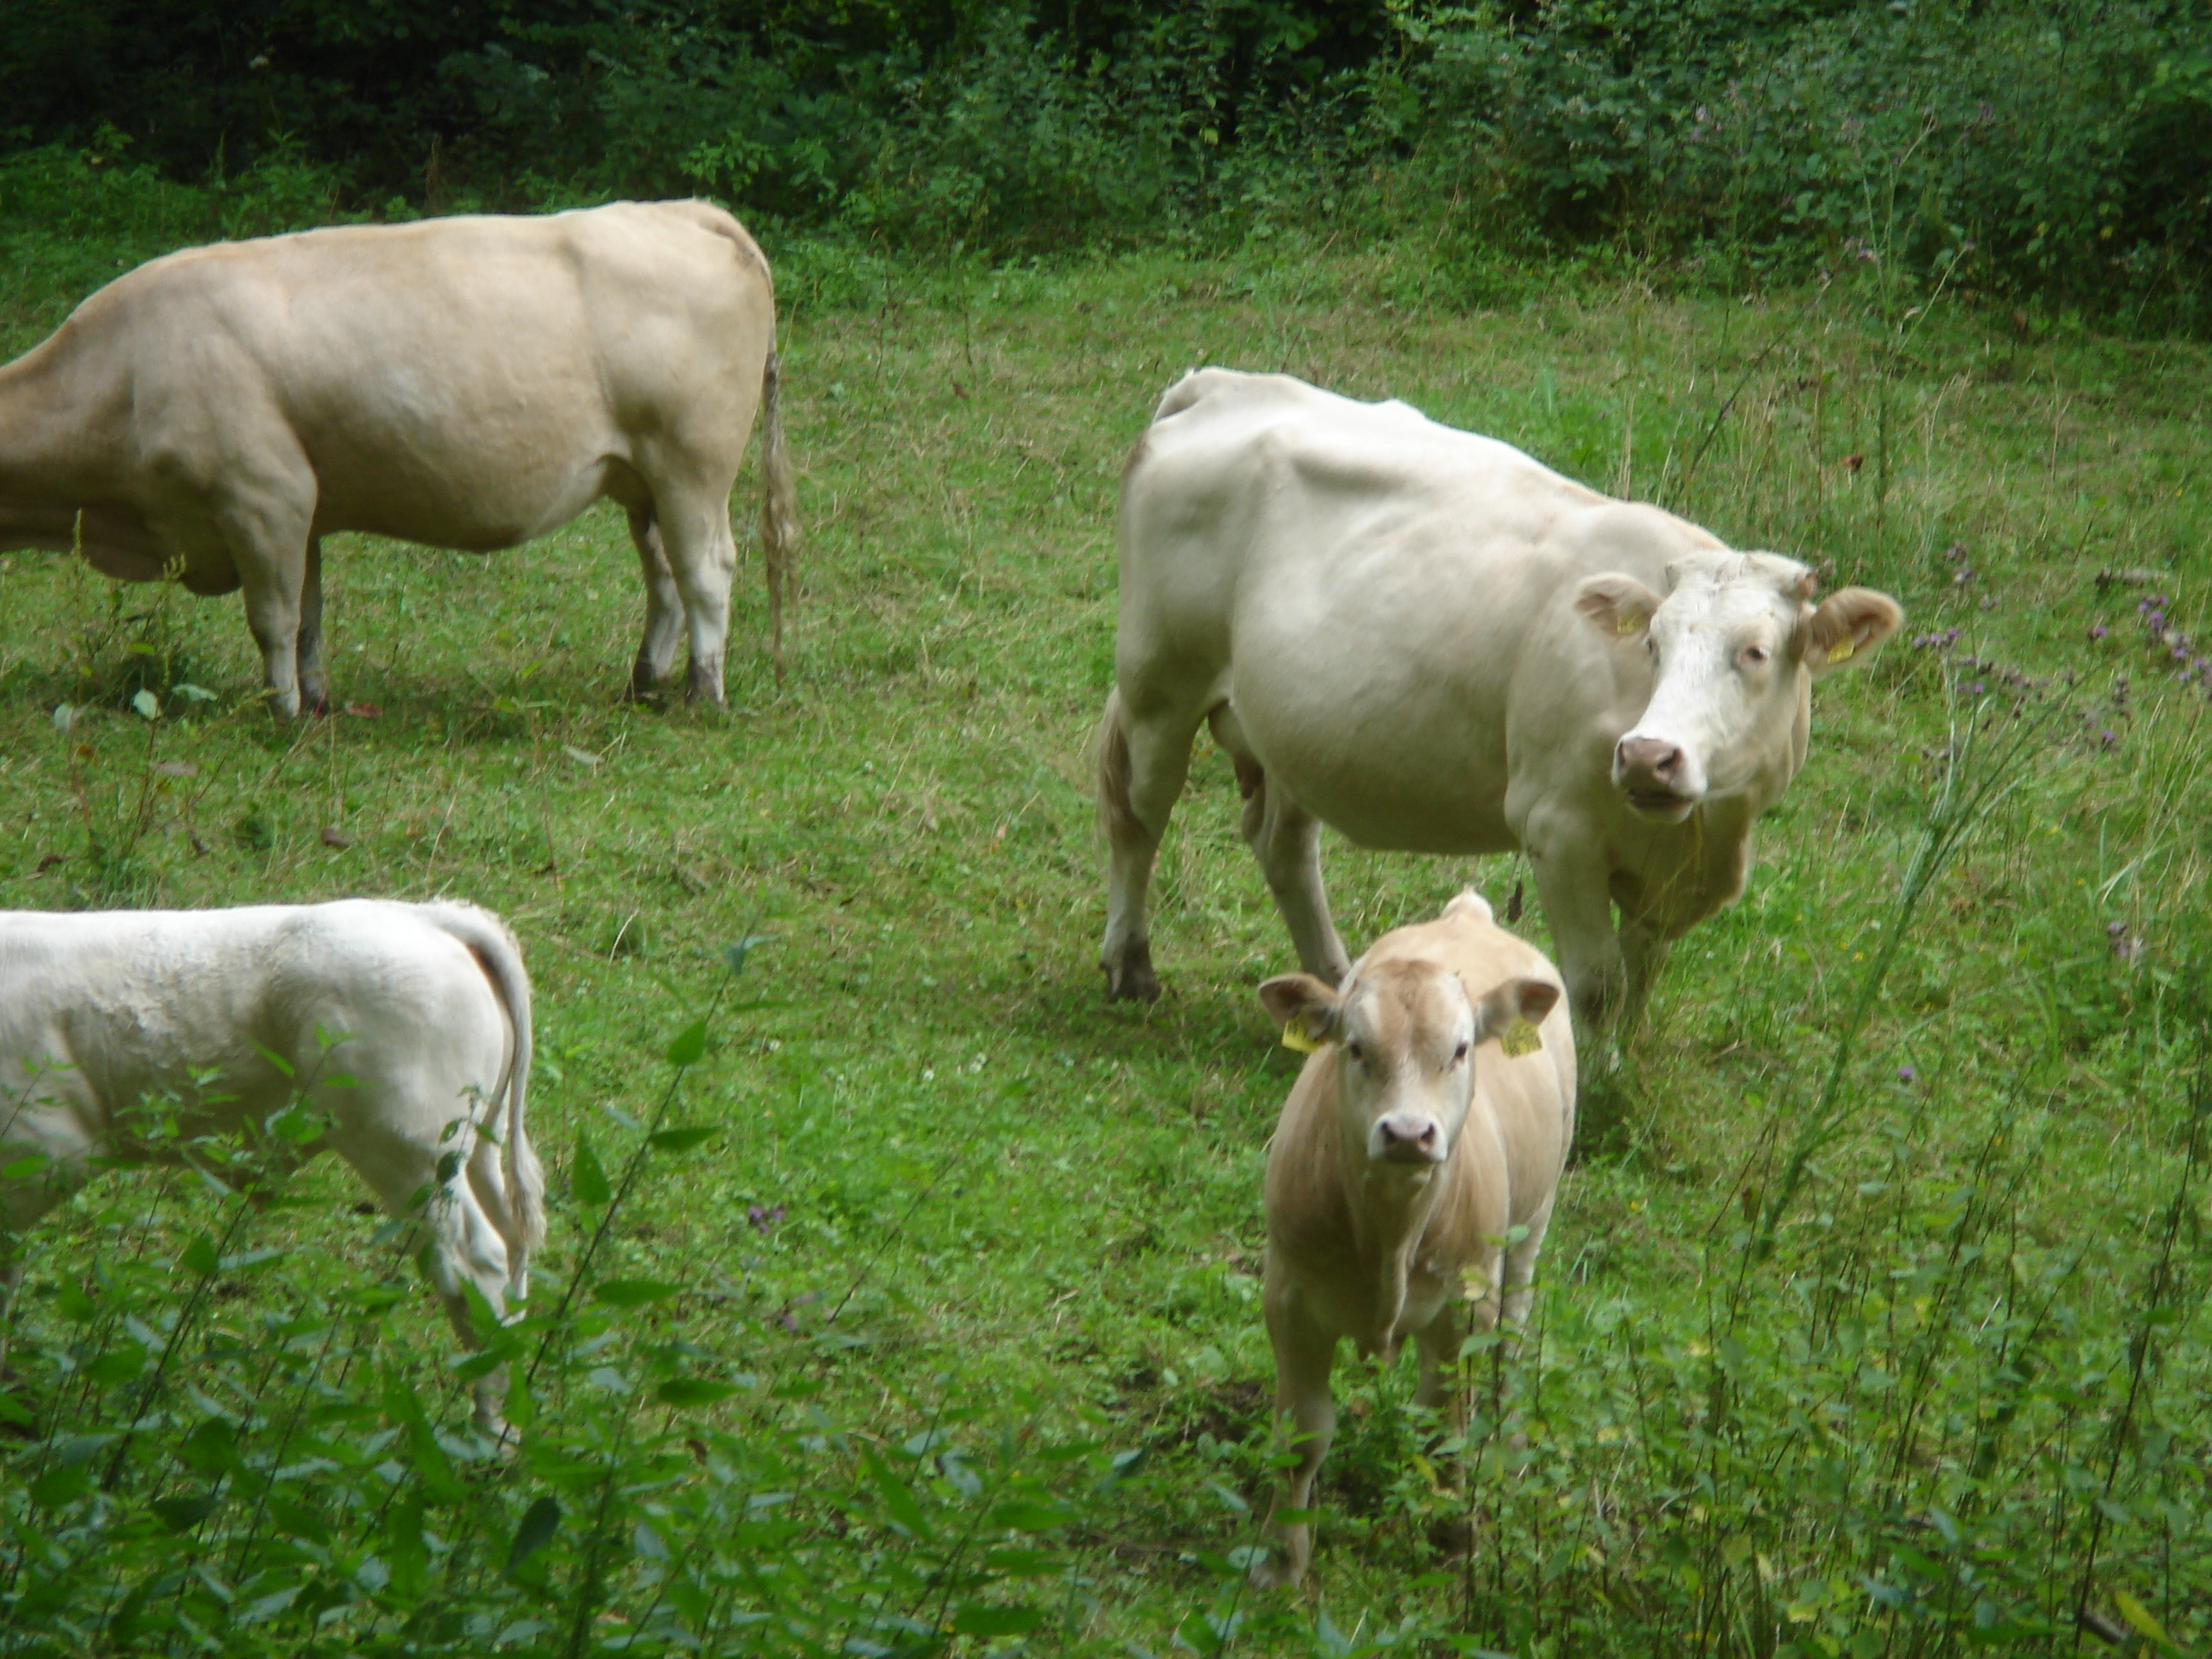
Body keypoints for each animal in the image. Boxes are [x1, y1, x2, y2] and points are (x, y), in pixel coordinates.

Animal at [0, 197, 805, 716]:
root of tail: (684, 209)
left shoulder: (261, 494)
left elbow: (273, 618)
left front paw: (282, 713)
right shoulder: (299, 505)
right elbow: (309, 615)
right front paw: (316, 702)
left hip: (691, 463)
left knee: (706, 572)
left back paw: (703, 694)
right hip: (641, 477)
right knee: (663, 576)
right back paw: (643, 682)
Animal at [2, 902, 546, 1433]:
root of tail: (423, 914)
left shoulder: (44, 1147)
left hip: (410, 1152)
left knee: (476, 1263)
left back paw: (487, 1436)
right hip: (478, 1144)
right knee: (513, 1247)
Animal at [1088, 369, 1902, 1035]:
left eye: (1756, 652)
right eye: (1652, 644)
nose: (1648, 757)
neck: (1706, 835)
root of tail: (1223, 384)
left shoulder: (1671, 876)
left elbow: (1640, 985)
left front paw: (1626, 1078)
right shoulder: (1557, 830)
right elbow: (1597, 988)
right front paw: (1592, 1102)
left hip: (1292, 726)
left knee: (1282, 844)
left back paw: (1340, 986)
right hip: (1161, 682)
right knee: (1137, 815)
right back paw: (1131, 967)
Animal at [1247, 888, 1575, 1592]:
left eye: (1459, 1049)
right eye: (1354, 1048)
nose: (1406, 1133)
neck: (1389, 1235)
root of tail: (1467, 915)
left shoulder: (1465, 1304)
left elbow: (1447, 1423)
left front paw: (1454, 1536)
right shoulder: (1289, 1297)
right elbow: (1302, 1435)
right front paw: (1282, 1559)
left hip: (1530, 1229)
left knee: (1511, 1341)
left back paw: (1510, 1451)